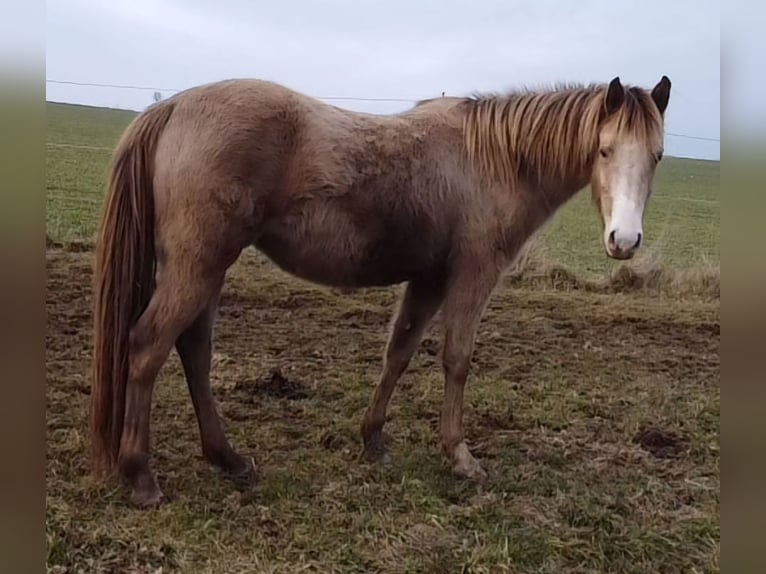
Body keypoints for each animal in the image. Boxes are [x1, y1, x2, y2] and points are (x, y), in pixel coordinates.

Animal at [91, 73, 672, 508]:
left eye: (658, 156)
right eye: (604, 150)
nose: (624, 240)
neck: (492, 160)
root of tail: (172, 108)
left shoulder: (429, 279)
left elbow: (400, 351)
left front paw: (373, 438)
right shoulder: (472, 274)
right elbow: (457, 358)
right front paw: (460, 457)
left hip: (207, 269)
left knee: (194, 349)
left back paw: (227, 458)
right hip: (198, 267)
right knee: (148, 347)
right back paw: (141, 477)